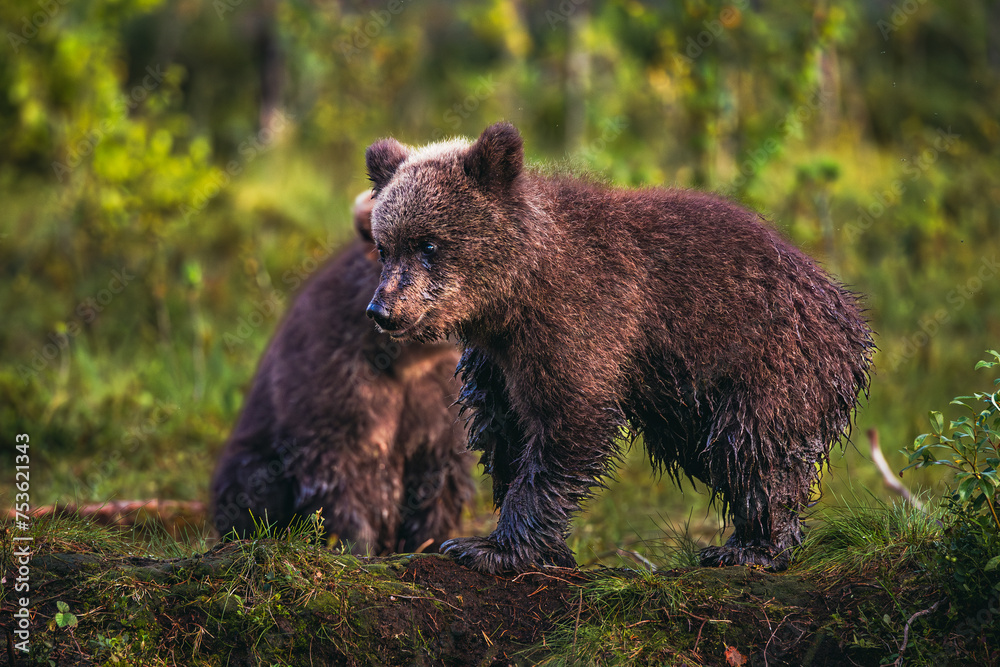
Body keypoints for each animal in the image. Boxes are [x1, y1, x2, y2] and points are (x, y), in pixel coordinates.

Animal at [211, 191, 475, 555]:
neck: (404, 359)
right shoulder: (332, 380)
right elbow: (337, 476)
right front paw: (351, 543)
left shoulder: (438, 398)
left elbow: (439, 478)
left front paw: (430, 542)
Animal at [363, 122, 876, 573]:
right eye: (384, 246)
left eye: (429, 244)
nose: (381, 309)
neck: (514, 297)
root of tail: (848, 312)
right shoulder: (495, 360)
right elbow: (503, 433)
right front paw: (536, 544)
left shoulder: (583, 321)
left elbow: (567, 421)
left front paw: (491, 548)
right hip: (687, 404)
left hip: (771, 360)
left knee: (754, 447)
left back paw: (751, 547)